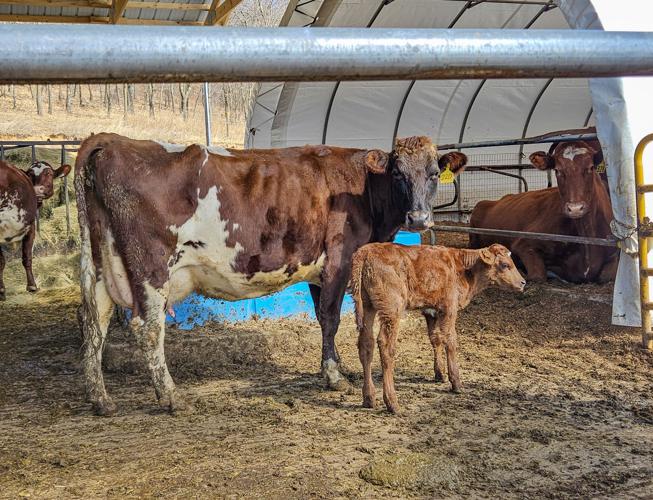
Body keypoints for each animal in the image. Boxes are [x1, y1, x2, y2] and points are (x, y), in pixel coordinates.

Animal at [74, 133, 468, 415]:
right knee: (148, 327)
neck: (362, 188)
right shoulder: (340, 259)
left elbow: (323, 318)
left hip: (100, 266)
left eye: (434, 174)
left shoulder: (318, 270)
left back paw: (100, 399)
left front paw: (335, 367)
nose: (419, 218)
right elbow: (331, 317)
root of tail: (111, 140)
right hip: (151, 266)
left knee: (94, 323)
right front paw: (334, 376)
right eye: (398, 173)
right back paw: (171, 397)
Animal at [350, 242, 524, 413]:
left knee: (366, 344)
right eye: (505, 265)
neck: (464, 268)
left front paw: (440, 373)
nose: (523, 282)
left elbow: (436, 338)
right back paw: (392, 403)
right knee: (386, 346)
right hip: (392, 308)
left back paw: (369, 398)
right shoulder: (450, 308)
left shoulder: (432, 310)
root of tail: (365, 251)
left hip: (367, 306)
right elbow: (450, 340)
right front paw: (456, 382)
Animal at [469, 139, 617, 283]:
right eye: (557, 170)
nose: (575, 208)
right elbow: (538, 276)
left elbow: (607, 276)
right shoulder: (524, 243)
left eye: (591, 167)